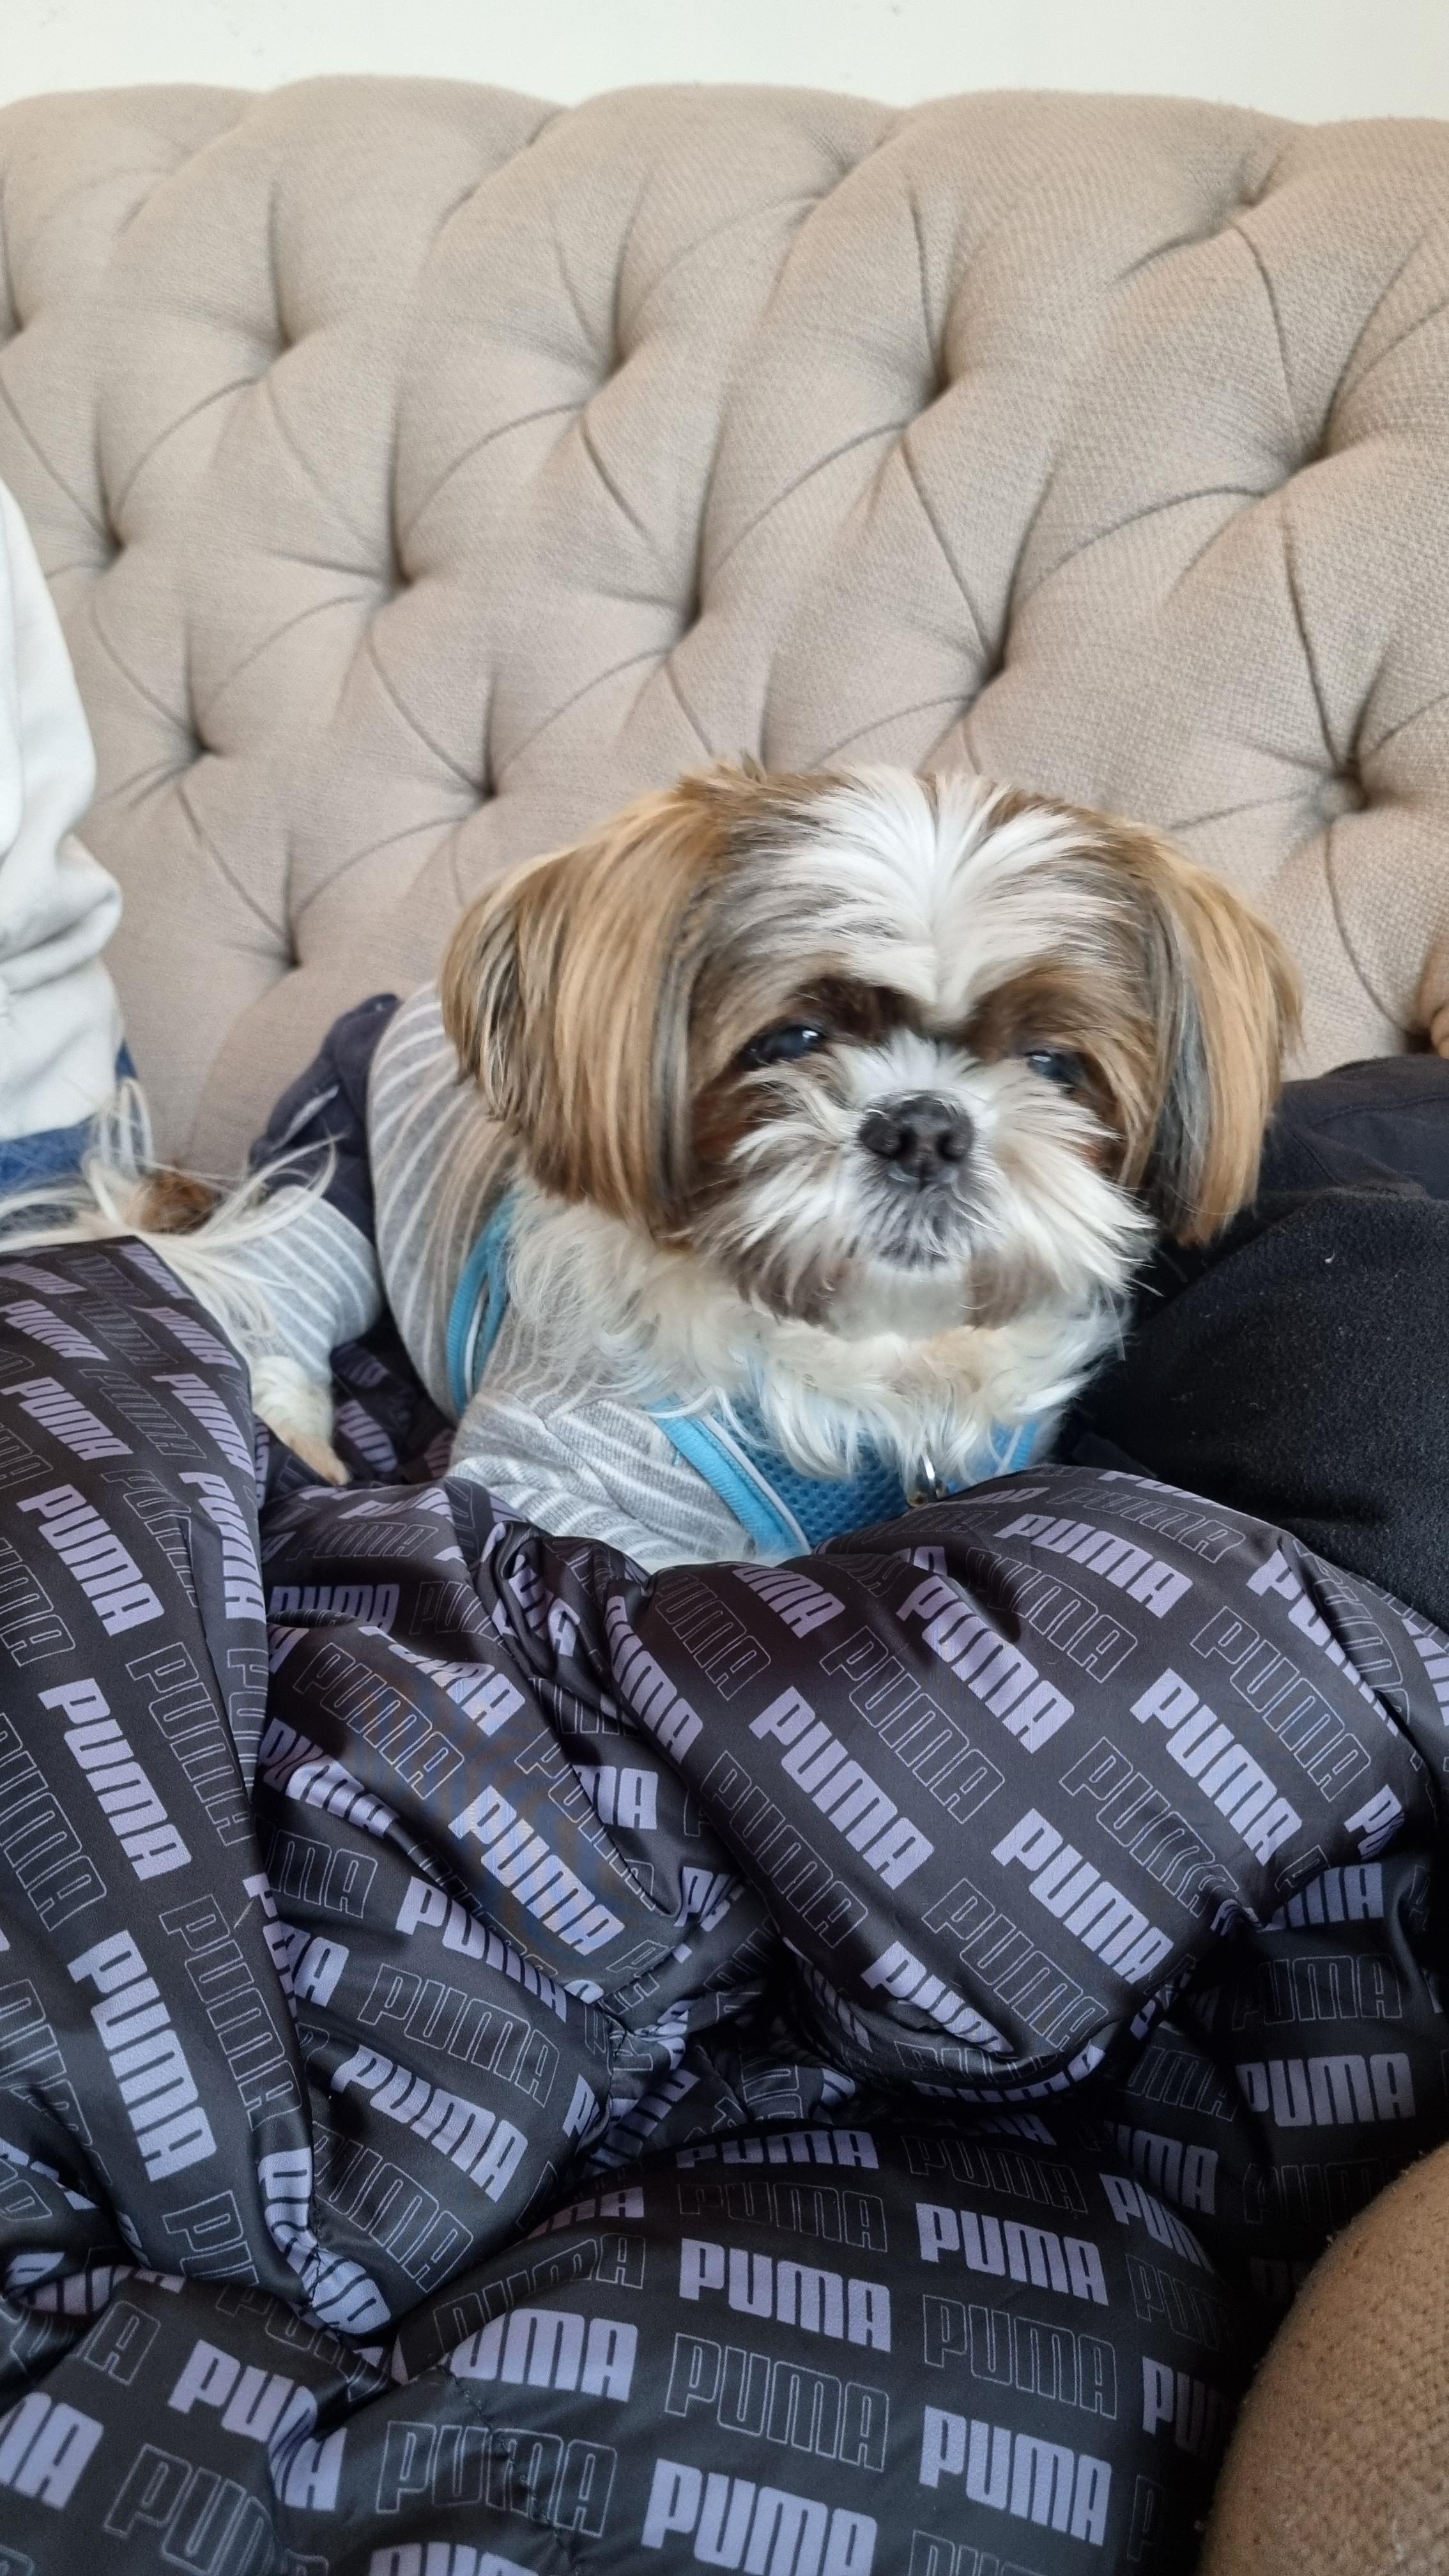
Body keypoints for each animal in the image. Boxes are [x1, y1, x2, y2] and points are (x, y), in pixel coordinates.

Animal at [1, 764, 1297, 1570]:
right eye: (792, 1040)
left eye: (1054, 1064)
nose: (923, 1126)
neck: (862, 1362)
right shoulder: (553, 1485)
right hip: (338, 1188)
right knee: (269, 1310)